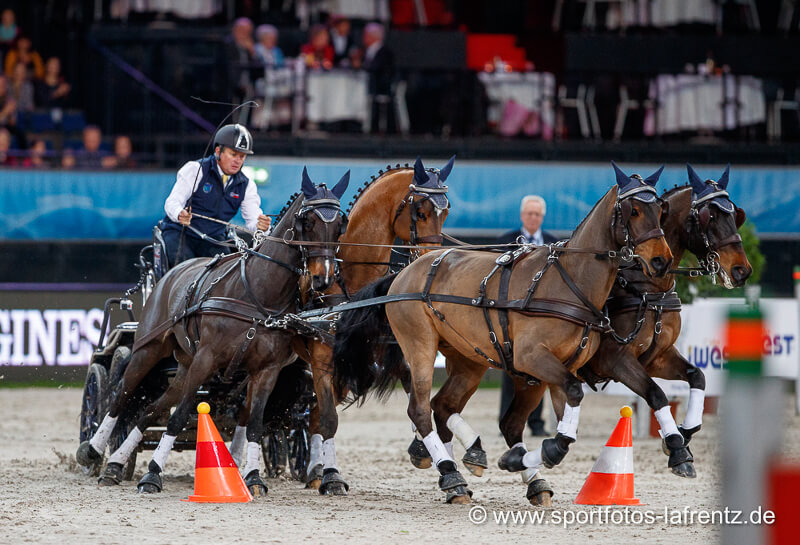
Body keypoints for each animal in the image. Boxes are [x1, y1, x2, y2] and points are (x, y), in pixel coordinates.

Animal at [76, 168, 348, 496]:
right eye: (307, 222)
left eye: (340, 225)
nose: (323, 278)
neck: (257, 295)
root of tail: (171, 274)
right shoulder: (207, 359)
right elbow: (179, 417)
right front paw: (152, 475)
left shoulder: (266, 371)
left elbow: (255, 423)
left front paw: (254, 478)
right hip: (148, 351)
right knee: (120, 398)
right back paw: (93, 451)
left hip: (183, 367)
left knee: (149, 410)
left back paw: (115, 463)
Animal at [288, 154, 454, 492]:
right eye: (420, 211)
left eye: (446, 211)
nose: (433, 260)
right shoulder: (323, 361)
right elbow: (329, 418)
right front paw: (332, 476)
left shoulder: (397, 355)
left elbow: (421, 405)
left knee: (312, 415)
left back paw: (313, 469)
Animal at [332, 165, 676, 502]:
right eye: (633, 210)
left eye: (661, 209)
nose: (661, 260)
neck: (568, 281)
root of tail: (404, 273)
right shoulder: (533, 358)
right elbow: (571, 403)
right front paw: (532, 456)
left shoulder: (560, 367)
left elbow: (565, 425)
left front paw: (522, 460)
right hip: (420, 347)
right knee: (419, 409)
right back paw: (450, 473)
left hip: (469, 358)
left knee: (443, 406)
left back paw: (467, 467)